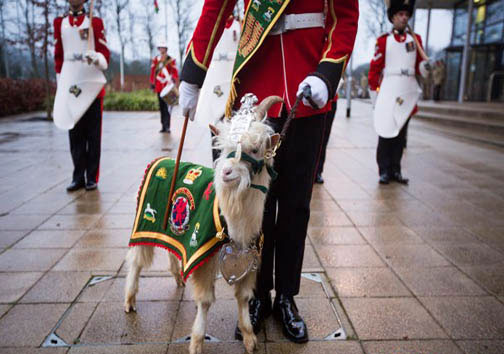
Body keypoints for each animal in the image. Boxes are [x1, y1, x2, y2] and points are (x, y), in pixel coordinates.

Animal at [125, 94, 284, 354]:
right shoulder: (203, 255)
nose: (226, 172)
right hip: (143, 222)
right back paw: (129, 300)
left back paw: (178, 277)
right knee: (136, 261)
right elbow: (206, 301)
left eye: (255, 149)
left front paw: (249, 337)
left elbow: (243, 297)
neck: (233, 216)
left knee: (170, 248)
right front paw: (197, 342)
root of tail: (160, 159)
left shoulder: (247, 259)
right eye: (224, 149)